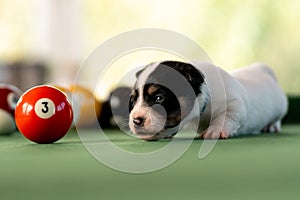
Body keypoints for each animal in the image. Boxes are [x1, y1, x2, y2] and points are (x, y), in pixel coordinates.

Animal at [129, 61, 288, 141]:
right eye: (133, 99)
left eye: (159, 98)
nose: (136, 120)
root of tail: (262, 70)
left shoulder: (235, 104)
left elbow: (226, 116)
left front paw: (215, 130)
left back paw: (271, 126)